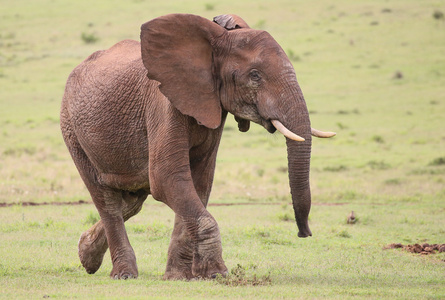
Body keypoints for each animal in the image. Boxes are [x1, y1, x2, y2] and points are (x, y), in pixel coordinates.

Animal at [60, 13, 334, 282]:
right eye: (255, 75)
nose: (304, 233)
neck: (214, 40)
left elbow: (198, 182)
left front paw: (180, 277)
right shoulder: (164, 102)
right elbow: (167, 177)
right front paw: (216, 273)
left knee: (132, 200)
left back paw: (86, 254)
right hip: (71, 129)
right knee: (106, 199)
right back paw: (123, 274)